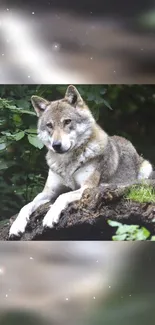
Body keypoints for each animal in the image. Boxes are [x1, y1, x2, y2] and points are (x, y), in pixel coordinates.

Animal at [9, 85, 153, 237]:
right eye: (49, 125)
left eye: (67, 121)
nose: (56, 145)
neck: (67, 164)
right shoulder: (48, 192)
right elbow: (26, 205)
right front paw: (16, 225)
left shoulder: (86, 188)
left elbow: (62, 196)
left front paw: (50, 216)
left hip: (146, 169)